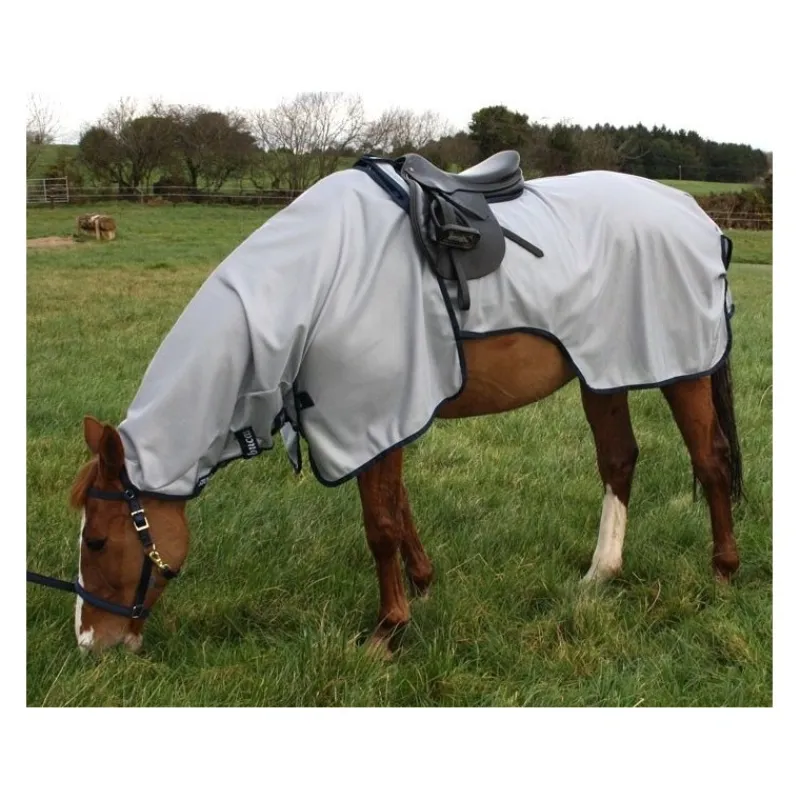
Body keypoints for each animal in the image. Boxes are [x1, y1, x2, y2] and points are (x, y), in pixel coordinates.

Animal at [60, 155, 742, 657]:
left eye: (96, 540)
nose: (92, 644)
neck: (313, 280)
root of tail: (696, 216)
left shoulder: (368, 413)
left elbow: (380, 525)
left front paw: (389, 629)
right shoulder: (382, 417)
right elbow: (400, 510)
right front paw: (422, 586)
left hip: (679, 371)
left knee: (710, 460)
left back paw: (722, 573)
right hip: (604, 371)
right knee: (619, 461)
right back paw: (601, 574)